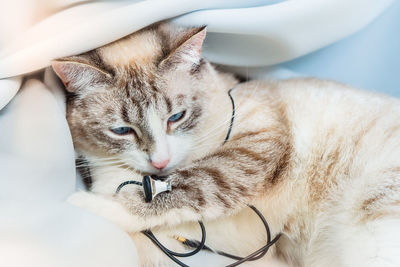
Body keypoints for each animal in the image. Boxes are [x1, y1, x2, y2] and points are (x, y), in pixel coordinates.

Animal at [51, 23, 400, 267]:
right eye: (123, 130)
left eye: (176, 117)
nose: (160, 163)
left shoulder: (253, 146)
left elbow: (183, 188)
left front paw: (90, 204)